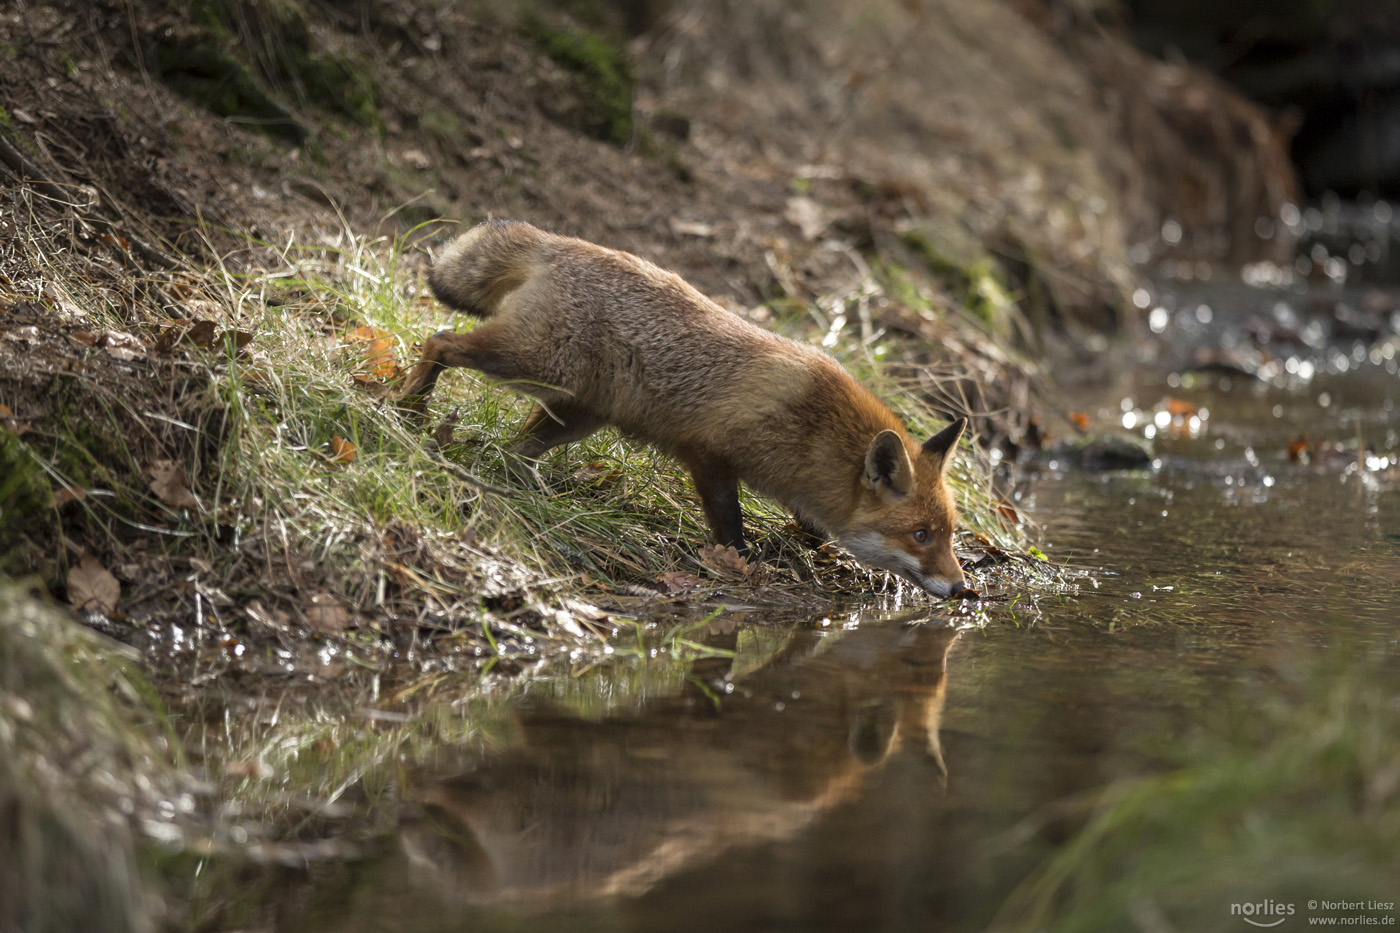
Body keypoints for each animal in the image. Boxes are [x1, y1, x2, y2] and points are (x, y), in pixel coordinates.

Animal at [394, 218, 974, 596]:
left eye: (949, 534)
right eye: (921, 536)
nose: (962, 589)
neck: (814, 431)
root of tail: (560, 243)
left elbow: (812, 528)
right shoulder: (710, 453)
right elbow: (730, 523)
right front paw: (744, 566)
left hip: (579, 412)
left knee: (517, 449)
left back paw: (522, 485)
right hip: (534, 364)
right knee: (439, 340)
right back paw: (409, 406)